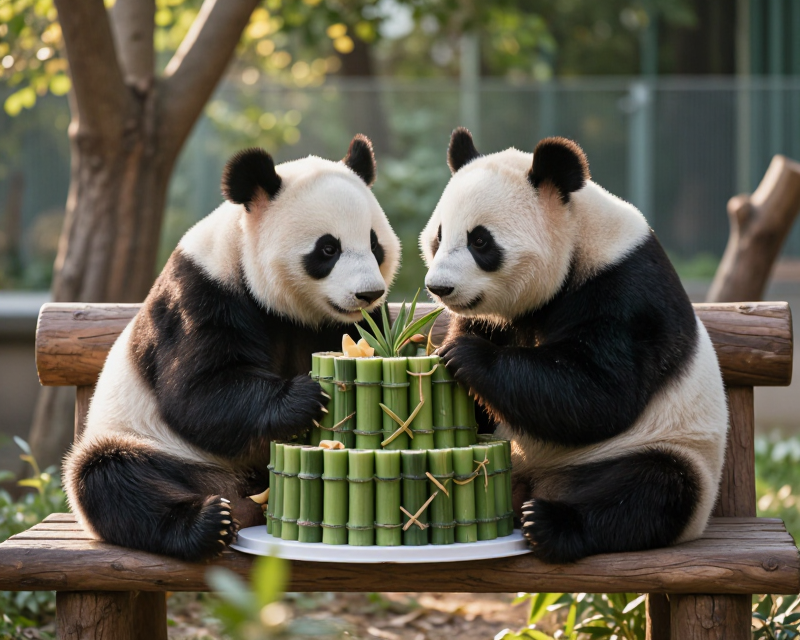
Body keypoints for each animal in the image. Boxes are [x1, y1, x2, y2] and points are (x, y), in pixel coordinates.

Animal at [63, 134, 401, 562]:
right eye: (328, 249)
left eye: (375, 245)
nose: (368, 294)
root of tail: (238, 490)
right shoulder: (204, 292)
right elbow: (197, 391)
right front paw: (303, 398)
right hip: (147, 440)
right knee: (110, 477)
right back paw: (207, 524)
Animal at [421, 128, 728, 564]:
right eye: (439, 236)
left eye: (480, 241)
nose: (439, 287)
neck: (579, 238)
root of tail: (537, 483)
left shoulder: (625, 292)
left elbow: (599, 394)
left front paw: (464, 355)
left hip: (668, 449)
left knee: (652, 490)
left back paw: (548, 523)